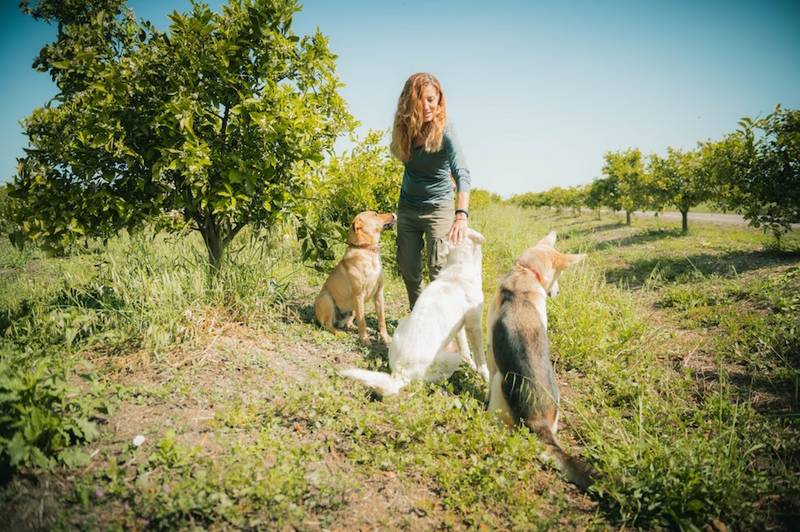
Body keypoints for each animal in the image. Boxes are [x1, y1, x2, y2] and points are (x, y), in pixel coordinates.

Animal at [316, 212, 396, 344]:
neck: (367, 250)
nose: (394, 214)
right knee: (328, 325)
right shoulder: (359, 294)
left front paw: (385, 337)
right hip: (326, 298)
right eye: (375, 214)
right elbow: (362, 321)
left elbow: (381, 320)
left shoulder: (379, 294)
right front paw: (364, 340)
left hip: (352, 308)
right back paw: (340, 333)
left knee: (349, 323)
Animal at [340, 227, 490, 396]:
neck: (459, 266)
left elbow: (465, 349)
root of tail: (400, 372)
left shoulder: (459, 326)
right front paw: (485, 376)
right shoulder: (474, 325)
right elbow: (480, 359)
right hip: (450, 359)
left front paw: (470, 364)